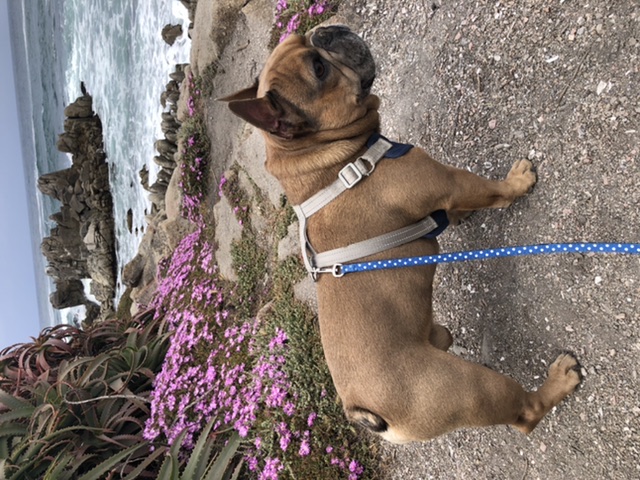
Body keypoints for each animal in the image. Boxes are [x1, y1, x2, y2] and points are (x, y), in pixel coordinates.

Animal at [221, 25, 580, 443]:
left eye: (307, 40)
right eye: (318, 69)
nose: (326, 30)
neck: (333, 162)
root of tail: (363, 410)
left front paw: (459, 217)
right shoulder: (450, 180)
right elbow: (491, 189)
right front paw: (517, 182)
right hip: (474, 389)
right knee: (525, 414)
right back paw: (559, 380)